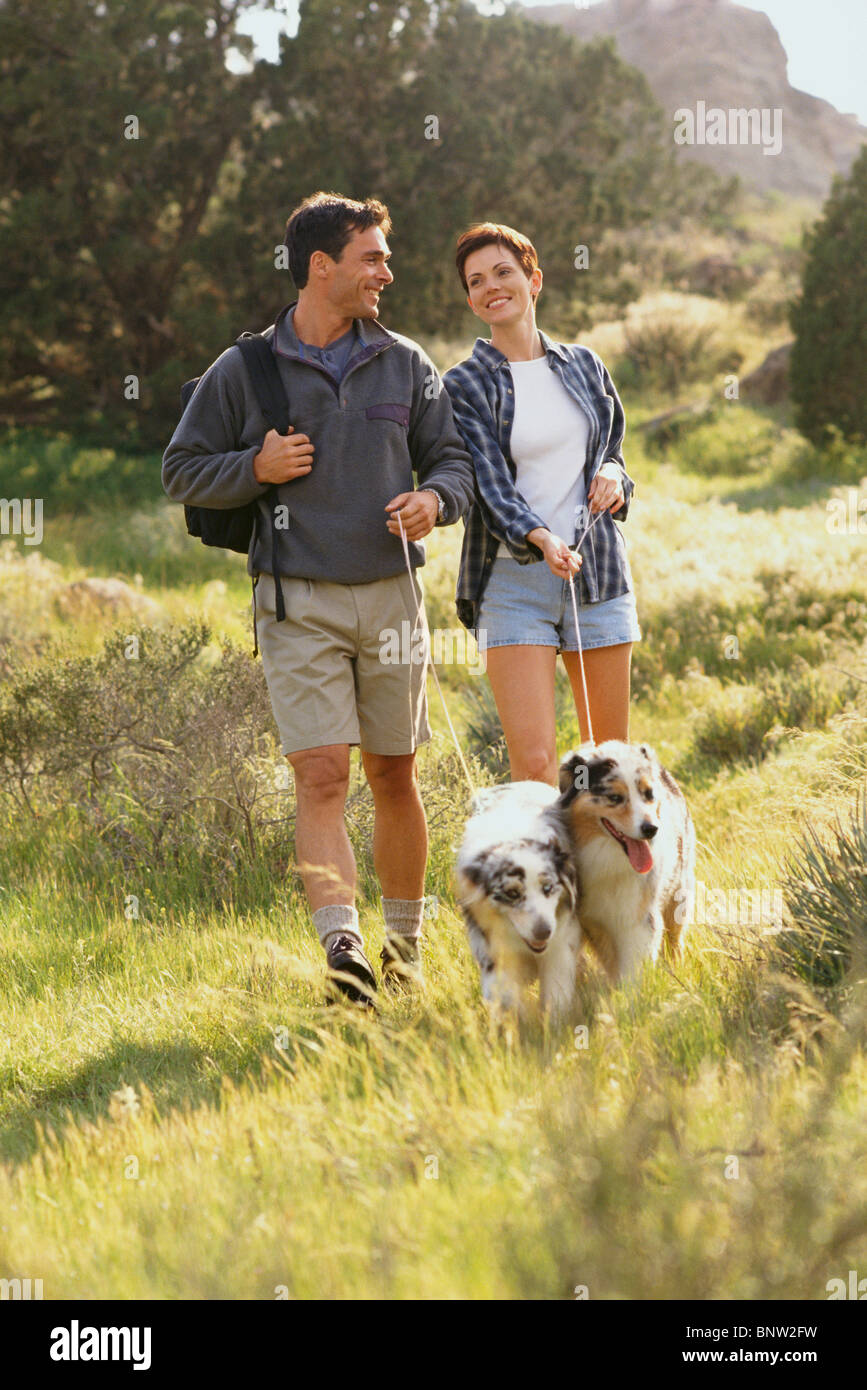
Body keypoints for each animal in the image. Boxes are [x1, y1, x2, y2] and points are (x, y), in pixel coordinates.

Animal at [452, 783, 583, 1023]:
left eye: (548, 888)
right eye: (512, 893)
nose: (543, 932)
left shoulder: (560, 942)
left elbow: (556, 991)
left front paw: (554, 1024)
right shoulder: (492, 947)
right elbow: (503, 992)